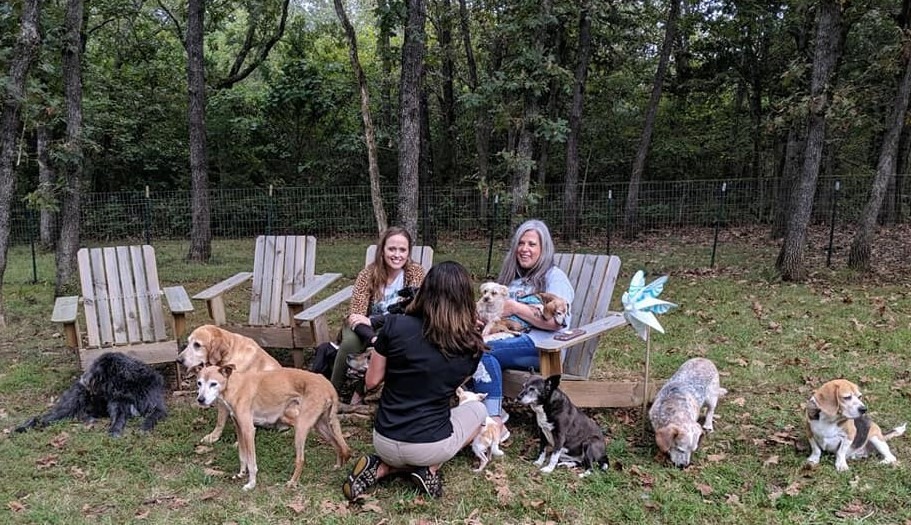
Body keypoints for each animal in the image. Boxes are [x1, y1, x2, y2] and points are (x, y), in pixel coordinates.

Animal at [15, 350, 169, 436]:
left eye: (96, 368)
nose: (82, 379)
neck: (129, 387)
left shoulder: (156, 406)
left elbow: (153, 416)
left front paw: (144, 427)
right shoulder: (118, 403)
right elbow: (119, 415)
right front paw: (115, 430)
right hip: (68, 407)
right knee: (41, 418)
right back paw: (21, 428)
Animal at [197, 364, 352, 492]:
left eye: (213, 384)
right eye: (199, 383)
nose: (200, 400)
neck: (235, 386)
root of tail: (328, 384)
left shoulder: (248, 430)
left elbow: (251, 462)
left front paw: (251, 484)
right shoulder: (239, 428)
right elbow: (242, 456)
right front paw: (241, 473)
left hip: (301, 427)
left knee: (301, 459)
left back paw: (292, 482)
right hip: (320, 425)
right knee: (341, 446)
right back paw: (338, 466)